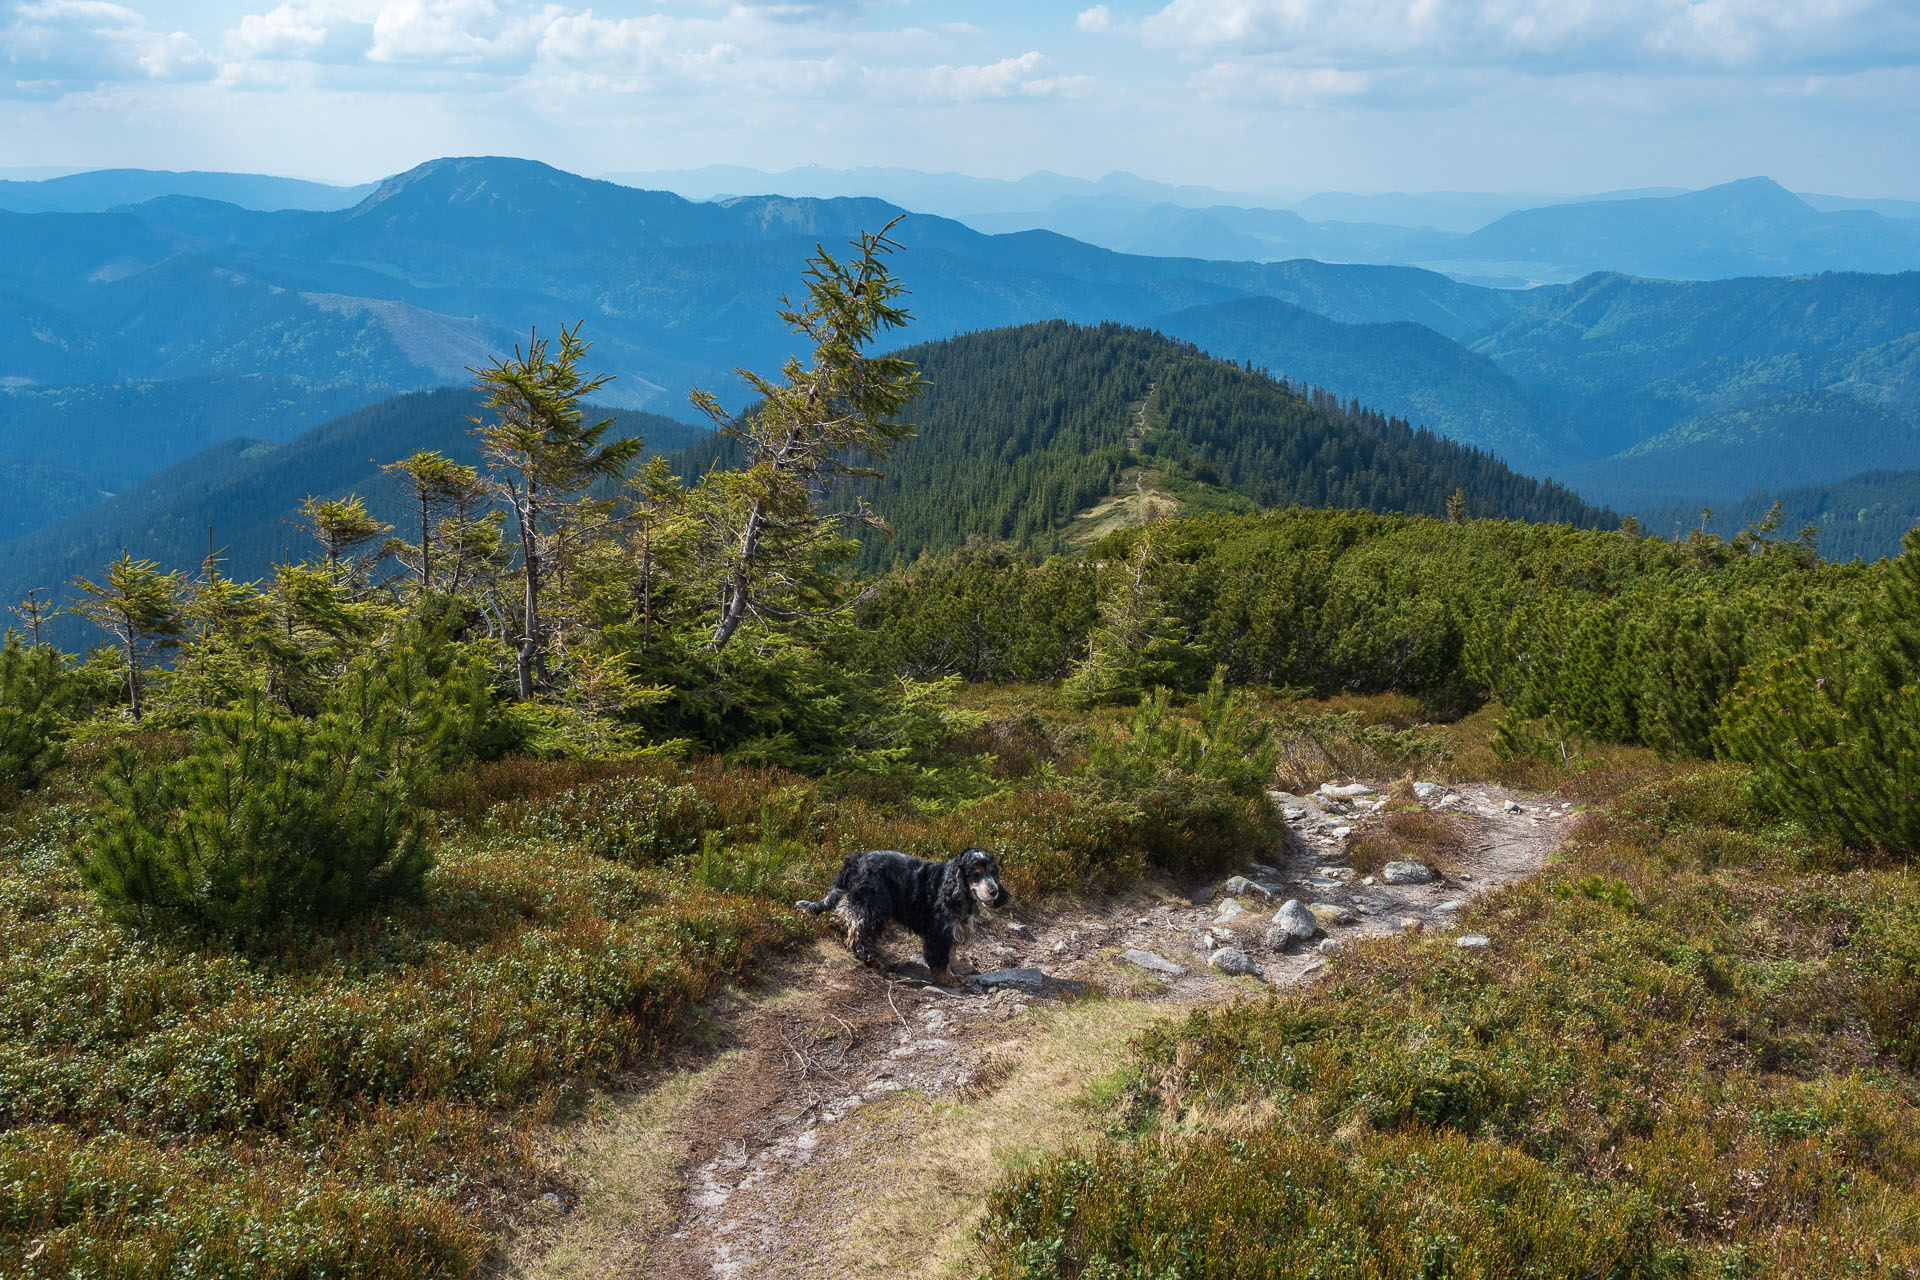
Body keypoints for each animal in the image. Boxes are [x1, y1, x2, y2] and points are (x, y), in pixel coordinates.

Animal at [794, 852, 1013, 990]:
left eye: (993, 871)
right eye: (975, 874)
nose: (994, 891)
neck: (953, 889)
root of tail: (855, 862)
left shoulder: (951, 929)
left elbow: (951, 952)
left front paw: (957, 964)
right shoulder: (937, 932)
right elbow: (940, 959)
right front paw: (948, 978)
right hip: (873, 908)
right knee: (858, 936)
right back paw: (872, 960)